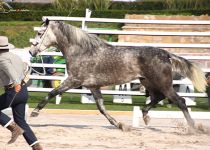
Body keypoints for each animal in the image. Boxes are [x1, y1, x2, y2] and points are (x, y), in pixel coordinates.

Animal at [29, 19, 207, 131]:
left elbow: (52, 93)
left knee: (180, 101)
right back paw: (145, 116)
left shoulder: (73, 80)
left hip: (163, 83)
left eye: (40, 33)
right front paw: (119, 125)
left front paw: (34, 112)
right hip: (149, 83)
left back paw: (194, 129)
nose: (31, 51)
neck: (81, 51)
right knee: (158, 98)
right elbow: (101, 108)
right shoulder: (93, 87)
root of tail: (165, 54)